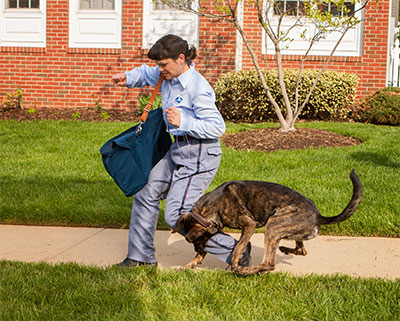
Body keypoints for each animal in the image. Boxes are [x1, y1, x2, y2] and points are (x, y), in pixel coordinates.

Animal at [173, 170, 362, 276]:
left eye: (196, 240)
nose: (197, 250)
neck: (211, 206)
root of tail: (319, 216)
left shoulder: (248, 226)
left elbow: (237, 249)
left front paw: (235, 264)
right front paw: (188, 266)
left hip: (273, 226)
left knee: (269, 264)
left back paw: (246, 271)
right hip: (287, 229)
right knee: (301, 250)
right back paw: (286, 249)